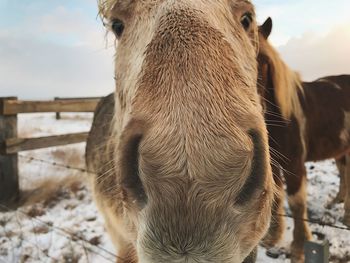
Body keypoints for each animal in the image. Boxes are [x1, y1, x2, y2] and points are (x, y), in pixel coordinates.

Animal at [258, 17, 350, 262]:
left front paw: (298, 248)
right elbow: (277, 196)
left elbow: (297, 204)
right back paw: (337, 202)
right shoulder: (274, 165)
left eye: (263, 60)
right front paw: (272, 237)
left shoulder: (294, 165)